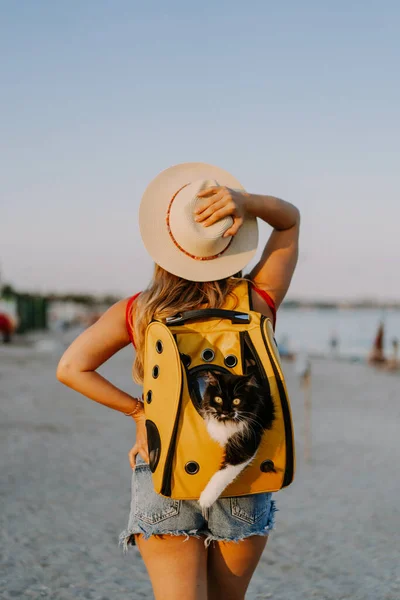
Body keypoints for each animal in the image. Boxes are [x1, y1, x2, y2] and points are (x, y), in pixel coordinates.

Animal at [198, 372, 276, 508]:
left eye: (236, 401)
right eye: (218, 399)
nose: (225, 410)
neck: (227, 421)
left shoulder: (245, 446)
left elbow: (223, 474)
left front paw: (205, 499)